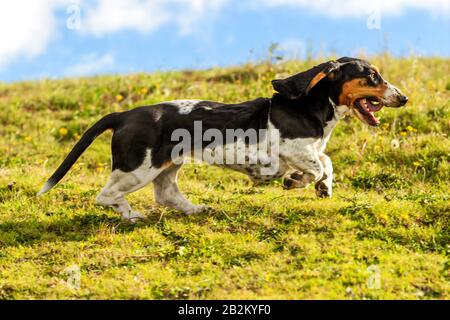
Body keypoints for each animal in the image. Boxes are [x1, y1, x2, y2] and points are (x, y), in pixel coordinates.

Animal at [38, 57, 408, 221]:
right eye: (372, 76)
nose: (403, 98)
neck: (310, 107)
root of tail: (124, 114)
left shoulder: (312, 149)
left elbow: (326, 163)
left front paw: (323, 187)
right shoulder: (293, 148)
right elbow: (315, 166)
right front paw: (295, 182)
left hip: (167, 165)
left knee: (166, 194)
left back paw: (195, 209)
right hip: (138, 168)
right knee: (106, 196)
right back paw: (131, 215)